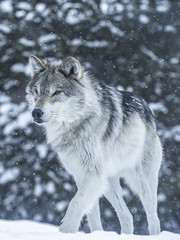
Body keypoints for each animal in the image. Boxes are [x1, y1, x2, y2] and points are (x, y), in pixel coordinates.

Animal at [26, 54, 162, 234]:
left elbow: (75, 204)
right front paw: (96, 233)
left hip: (142, 181)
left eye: (56, 92)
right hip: (109, 184)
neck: (75, 125)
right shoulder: (80, 175)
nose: (36, 112)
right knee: (127, 216)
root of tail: (147, 107)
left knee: (153, 218)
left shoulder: (92, 174)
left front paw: (65, 232)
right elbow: (91, 213)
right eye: (37, 91)